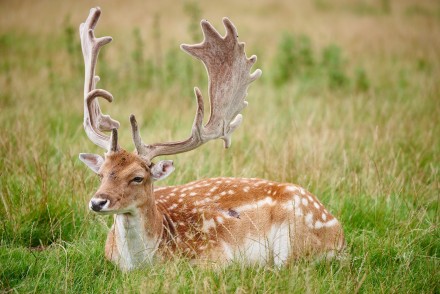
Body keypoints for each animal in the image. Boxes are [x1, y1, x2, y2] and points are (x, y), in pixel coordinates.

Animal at [80, 7, 348, 272]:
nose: (97, 202)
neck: (144, 261)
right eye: (101, 174)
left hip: (295, 239)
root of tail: (339, 233)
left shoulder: (215, 258)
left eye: (137, 177)